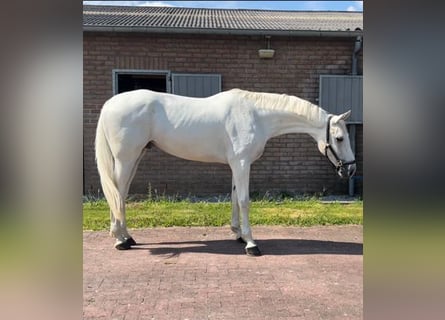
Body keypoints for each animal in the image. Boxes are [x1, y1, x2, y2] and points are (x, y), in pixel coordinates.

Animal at [95, 89, 356, 256]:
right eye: (340, 138)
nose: (351, 169)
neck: (256, 115)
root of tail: (109, 104)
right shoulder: (242, 163)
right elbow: (244, 200)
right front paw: (251, 244)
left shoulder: (236, 164)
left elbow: (233, 198)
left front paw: (238, 234)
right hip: (126, 158)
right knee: (117, 193)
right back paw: (120, 239)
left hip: (135, 157)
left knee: (120, 194)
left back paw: (126, 237)